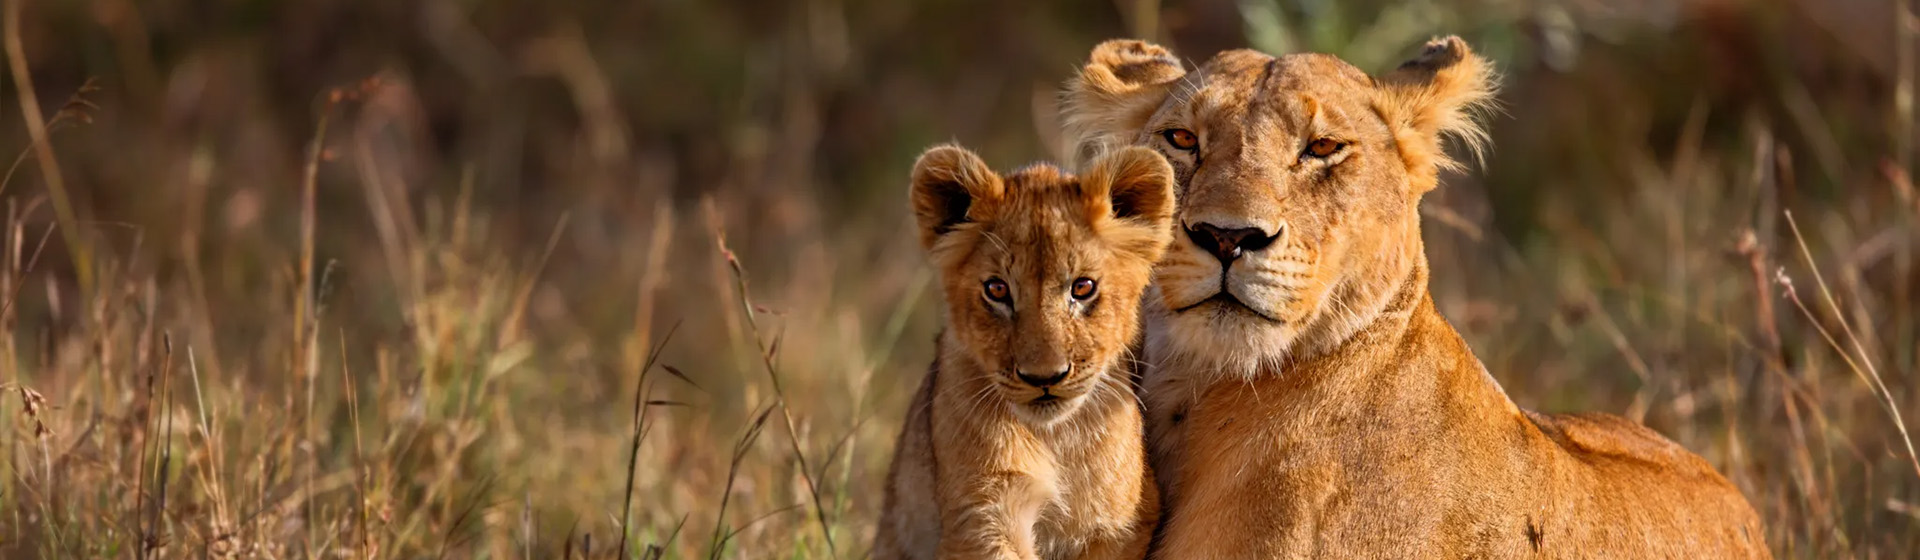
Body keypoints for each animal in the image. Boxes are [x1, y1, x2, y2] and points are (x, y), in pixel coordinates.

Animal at [871, 144, 1173, 560]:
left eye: (1083, 287)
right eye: (997, 290)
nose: (1044, 378)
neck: (1056, 439)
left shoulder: (1119, 524)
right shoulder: (982, 514)